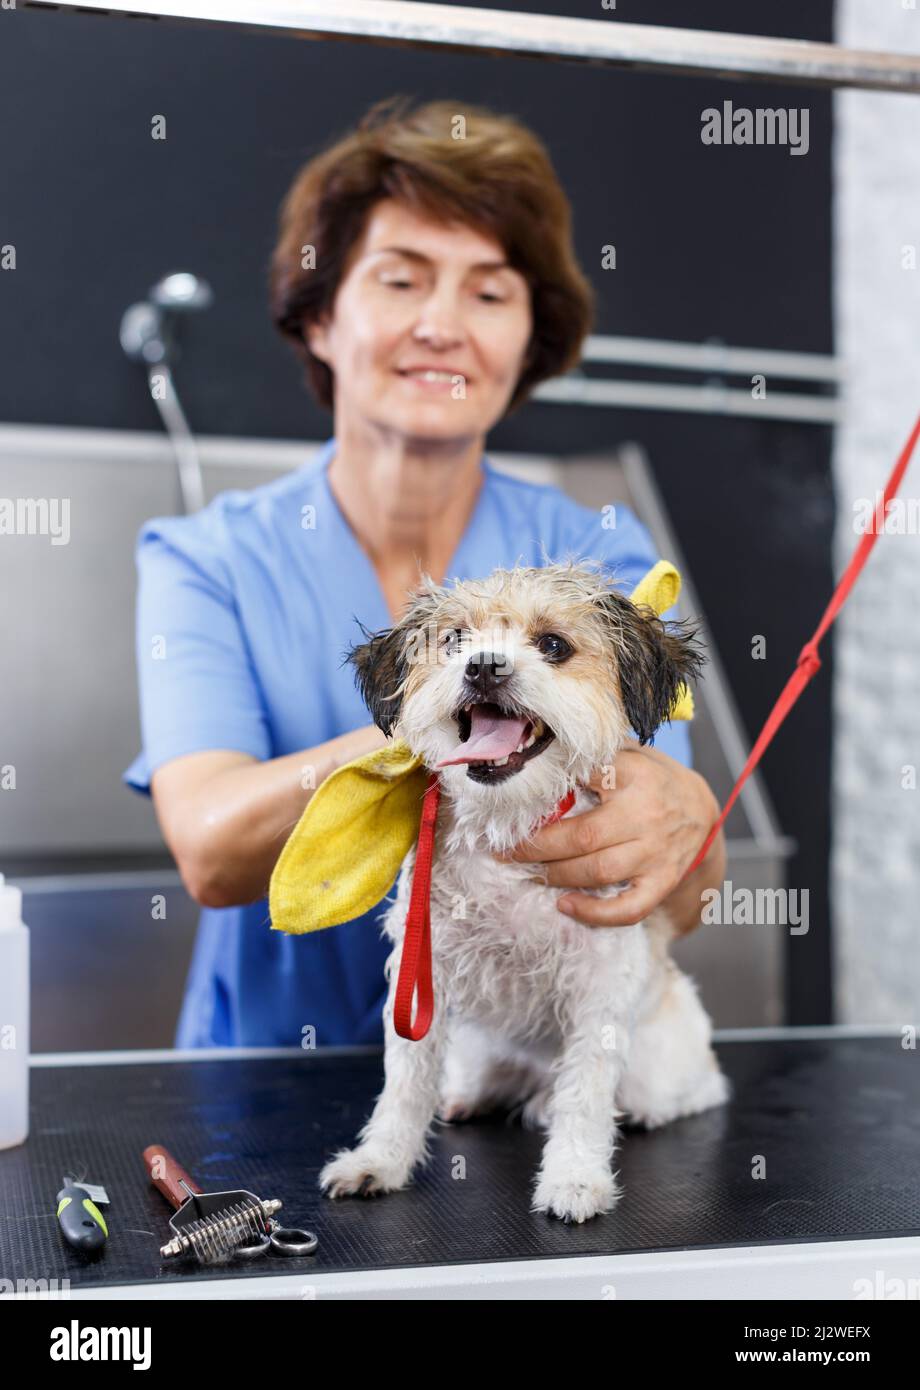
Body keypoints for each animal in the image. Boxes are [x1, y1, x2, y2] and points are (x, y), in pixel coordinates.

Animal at [321, 558, 733, 1223]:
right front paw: (379, 1161)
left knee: (686, 1091)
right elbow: (404, 1081)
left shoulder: (599, 984)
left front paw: (574, 1178)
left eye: (554, 645)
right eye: (454, 640)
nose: (483, 665)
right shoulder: (421, 979)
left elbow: (585, 1092)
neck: (505, 828)